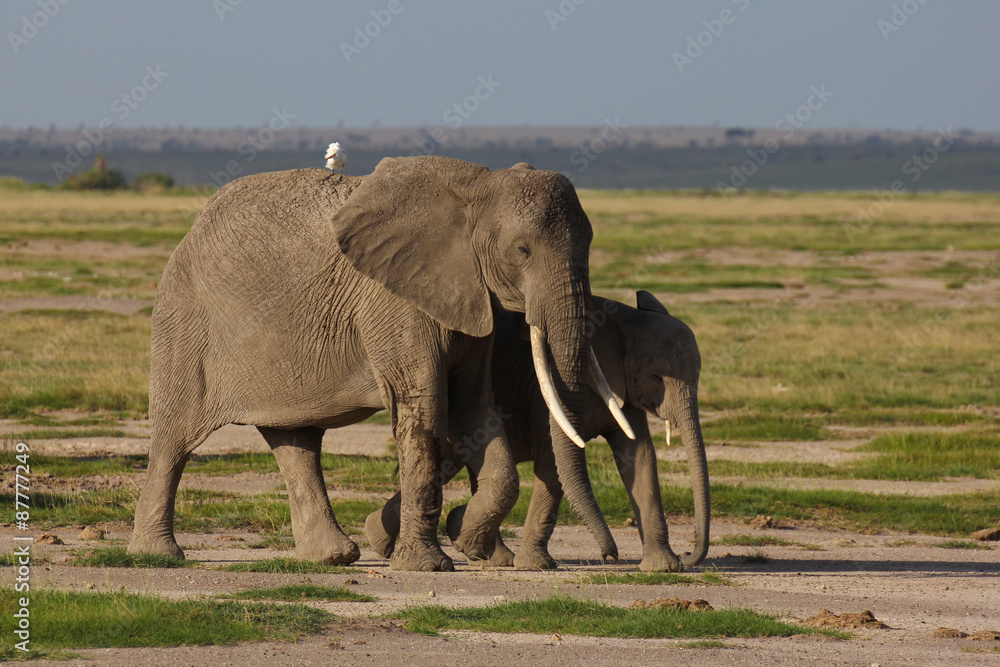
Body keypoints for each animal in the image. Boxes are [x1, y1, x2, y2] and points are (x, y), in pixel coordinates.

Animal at [128, 156, 630, 572]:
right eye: (522, 251)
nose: (611, 557)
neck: (478, 186)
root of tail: (192, 228)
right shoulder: (396, 301)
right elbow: (426, 411)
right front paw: (429, 565)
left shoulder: (469, 299)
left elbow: (474, 409)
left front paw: (468, 541)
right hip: (185, 321)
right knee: (175, 438)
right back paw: (160, 555)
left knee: (295, 441)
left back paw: (332, 557)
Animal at [365, 291, 709, 572]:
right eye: (657, 378)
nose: (609, 557)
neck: (625, 321)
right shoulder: (546, 394)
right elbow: (552, 461)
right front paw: (536, 565)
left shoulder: (623, 392)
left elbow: (639, 458)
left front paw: (664, 568)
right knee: (448, 460)